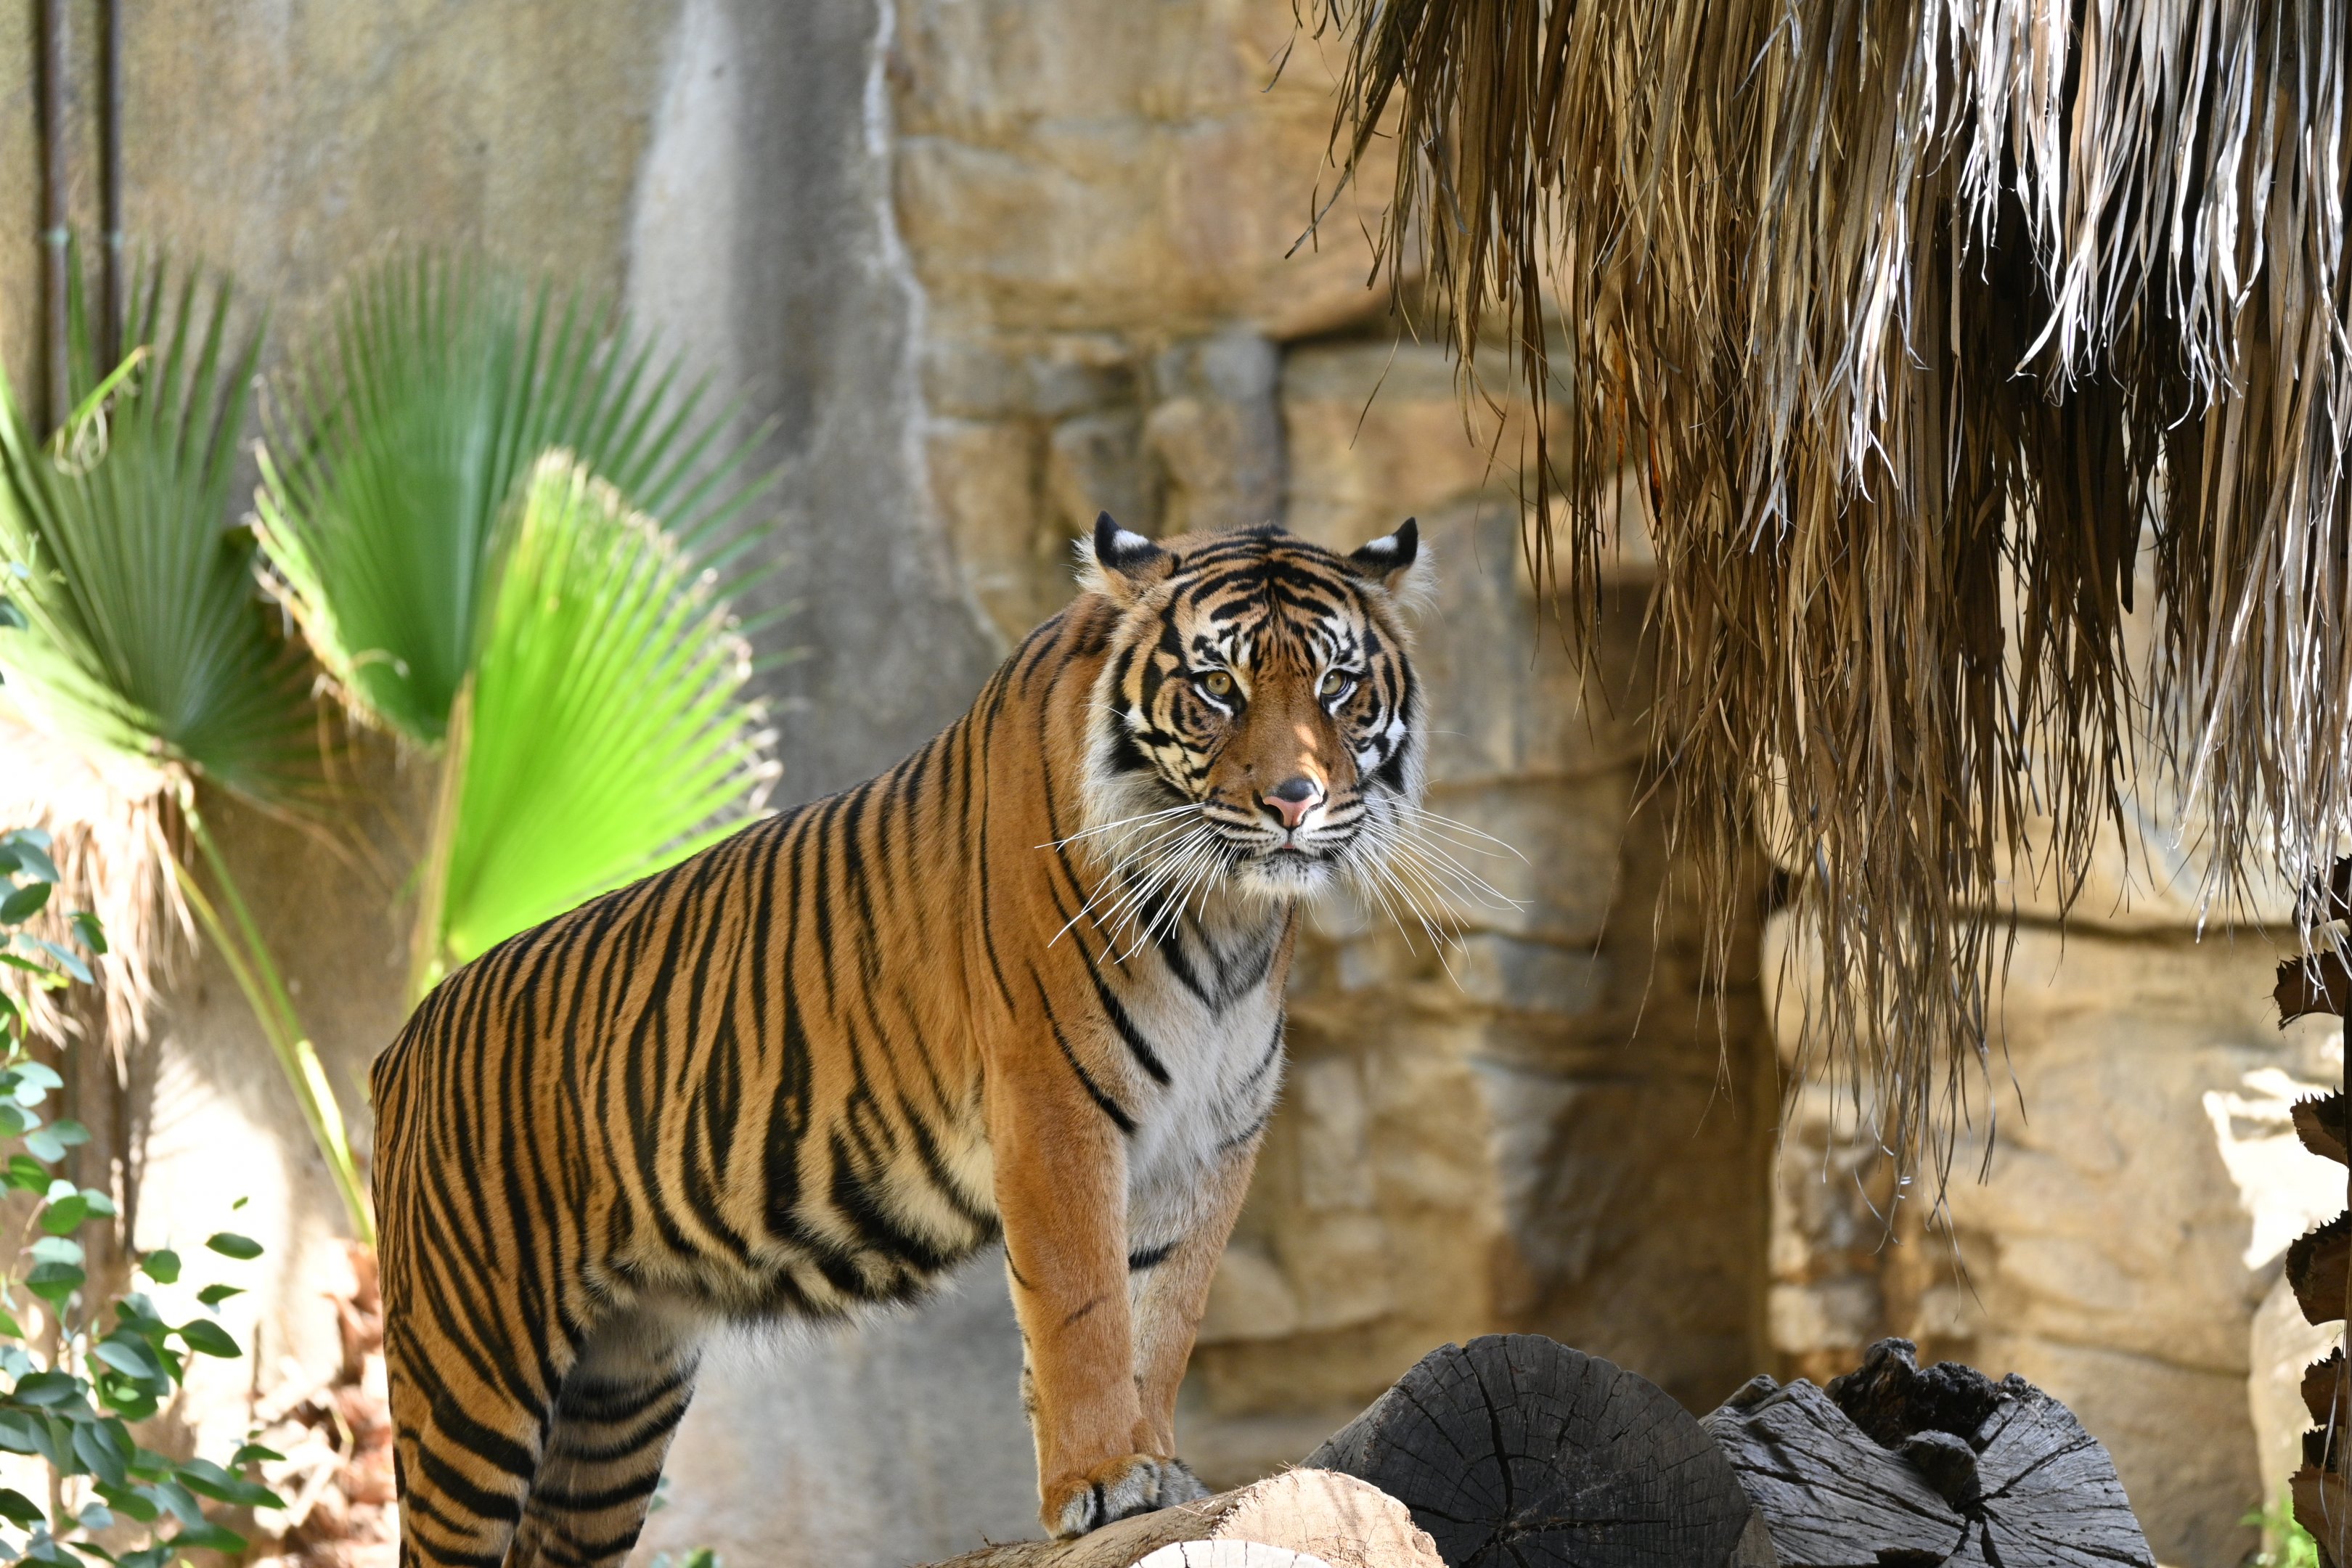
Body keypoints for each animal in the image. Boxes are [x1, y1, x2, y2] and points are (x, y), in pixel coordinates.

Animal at [369, 513, 1433, 1568]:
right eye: (1219, 687)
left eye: (1338, 686)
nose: (1294, 800)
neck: (1225, 911)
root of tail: (402, 1041)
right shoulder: (1055, 1109)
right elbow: (1084, 1309)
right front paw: (1099, 1484)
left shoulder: (1211, 1140)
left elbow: (1163, 1317)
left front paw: (1158, 1470)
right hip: (474, 1372)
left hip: (620, 1391)